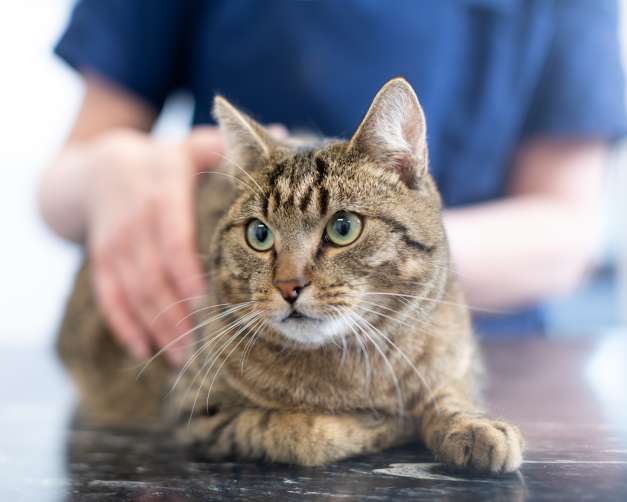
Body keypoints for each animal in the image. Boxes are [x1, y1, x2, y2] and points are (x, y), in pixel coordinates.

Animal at [59, 79, 524, 474]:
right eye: (259, 234)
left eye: (343, 228)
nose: (288, 287)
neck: (348, 368)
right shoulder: (197, 410)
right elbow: (302, 433)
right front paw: (377, 424)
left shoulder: (460, 362)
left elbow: (447, 393)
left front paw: (475, 426)